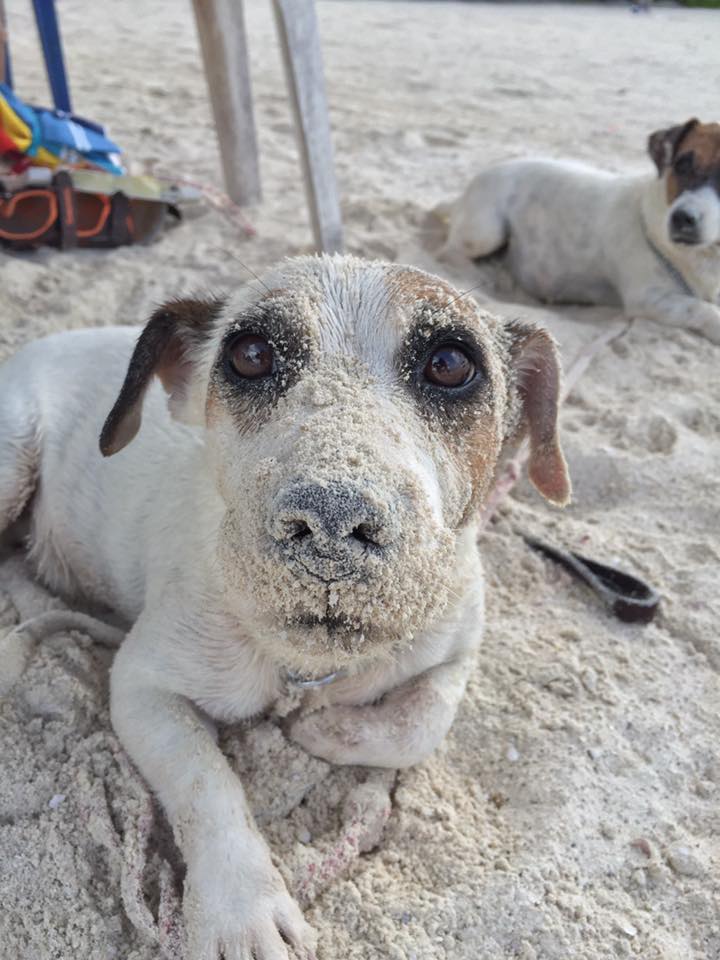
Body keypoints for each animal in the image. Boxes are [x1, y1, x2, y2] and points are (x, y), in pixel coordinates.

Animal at [0, 255, 568, 960]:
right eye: (250, 354)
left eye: (449, 364)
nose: (330, 521)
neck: (305, 661)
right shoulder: (142, 687)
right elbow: (207, 784)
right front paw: (242, 911)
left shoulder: (455, 652)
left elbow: (419, 723)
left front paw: (323, 732)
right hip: (12, 461)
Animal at [436, 119, 720, 344]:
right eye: (682, 165)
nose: (682, 218)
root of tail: (463, 196)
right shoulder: (648, 298)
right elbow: (701, 308)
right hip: (486, 232)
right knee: (450, 253)